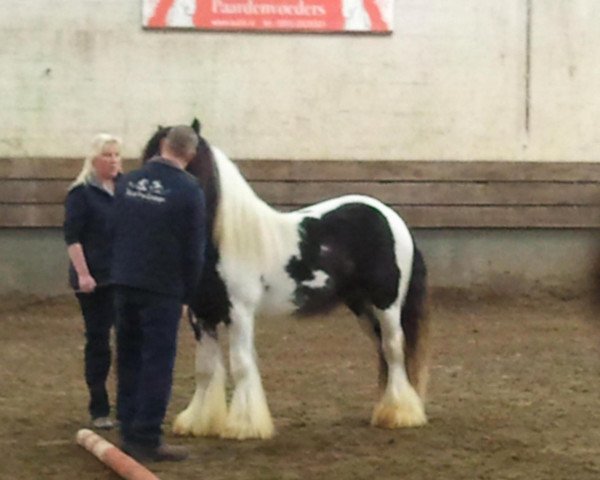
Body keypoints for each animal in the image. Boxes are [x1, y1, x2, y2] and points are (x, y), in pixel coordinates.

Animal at [141, 122, 432, 440]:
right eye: (148, 154)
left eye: (179, 160)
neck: (225, 240)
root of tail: (392, 218)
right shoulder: (201, 316)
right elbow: (205, 369)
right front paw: (199, 423)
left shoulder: (239, 313)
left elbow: (241, 365)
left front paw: (244, 426)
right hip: (361, 306)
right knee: (382, 350)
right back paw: (385, 410)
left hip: (386, 303)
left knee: (393, 348)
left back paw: (401, 414)